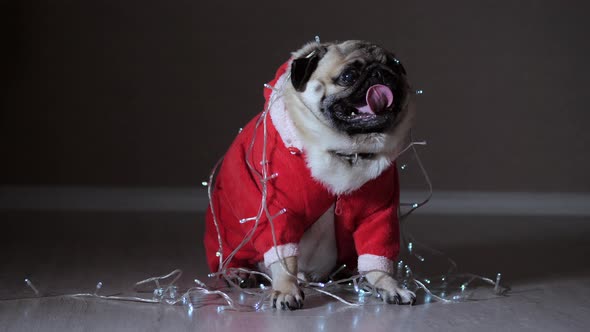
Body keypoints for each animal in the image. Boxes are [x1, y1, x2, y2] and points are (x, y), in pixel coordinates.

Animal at [206, 40, 418, 310]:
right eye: (348, 76)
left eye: (396, 68)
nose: (381, 73)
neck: (347, 152)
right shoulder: (277, 212)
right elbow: (284, 258)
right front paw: (286, 290)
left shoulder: (379, 213)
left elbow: (379, 257)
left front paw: (388, 285)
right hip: (231, 235)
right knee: (230, 260)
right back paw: (240, 272)